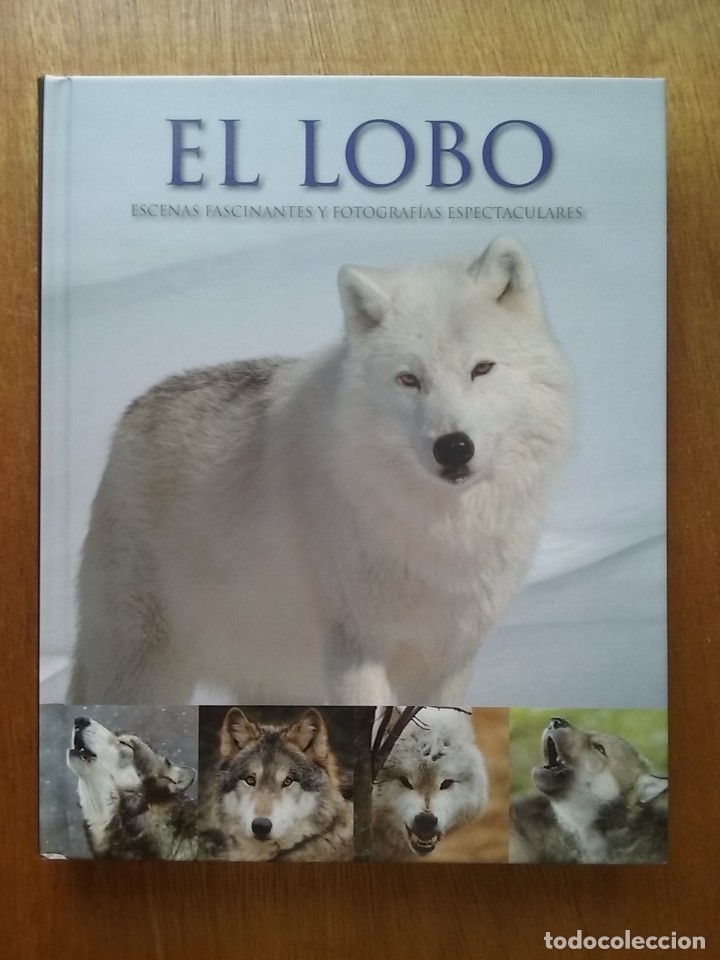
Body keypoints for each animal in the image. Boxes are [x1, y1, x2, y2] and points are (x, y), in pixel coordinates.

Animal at [69, 234, 572, 705]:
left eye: (482, 368)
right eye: (409, 379)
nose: (453, 448)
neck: (439, 529)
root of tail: (134, 411)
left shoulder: (450, 660)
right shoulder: (355, 651)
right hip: (148, 670)